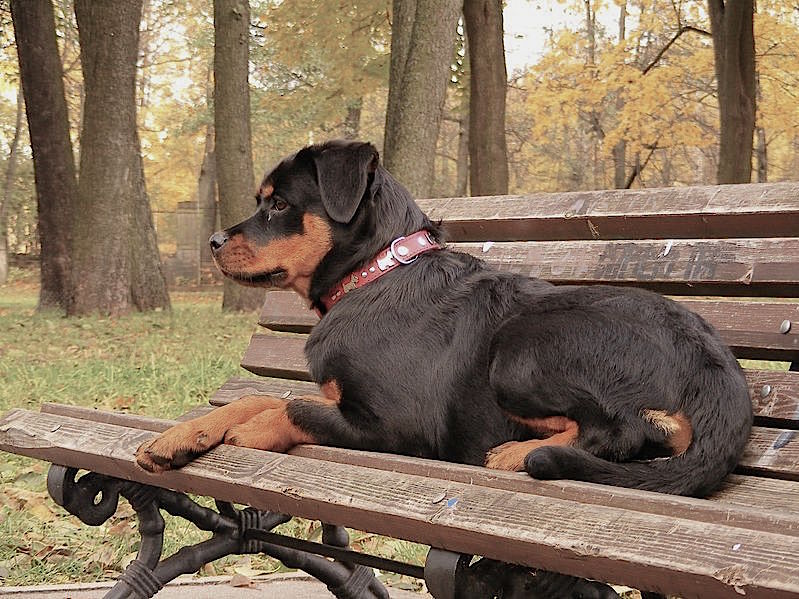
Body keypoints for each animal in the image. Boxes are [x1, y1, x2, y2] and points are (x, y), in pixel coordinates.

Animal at [138, 139, 756, 496]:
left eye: (281, 204)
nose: (214, 242)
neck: (376, 275)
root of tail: (720, 377)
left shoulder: (399, 425)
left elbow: (290, 406)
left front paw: (248, 431)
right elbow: (260, 394)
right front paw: (180, 437)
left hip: (520, 353)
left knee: (624, 431)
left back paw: (516, 454)